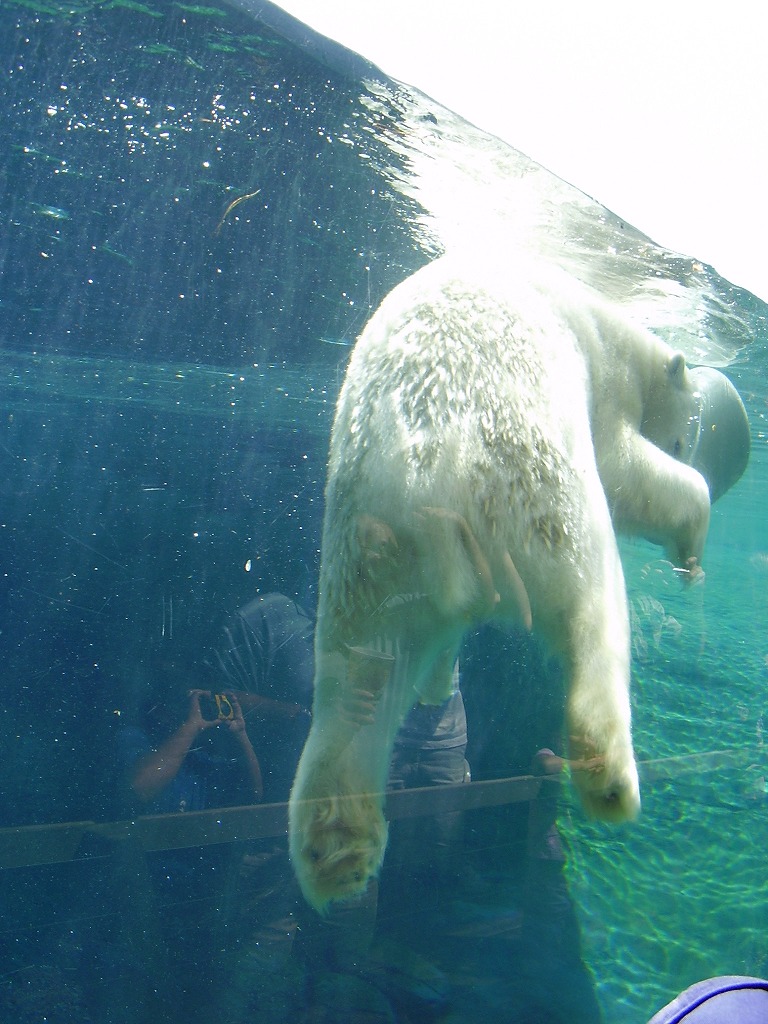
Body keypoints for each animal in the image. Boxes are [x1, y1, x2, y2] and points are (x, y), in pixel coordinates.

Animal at [286, 256, 745, 913]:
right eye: (684, 439)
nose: (687, 444)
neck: (609, 322)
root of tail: (428, 470)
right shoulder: (602, 386)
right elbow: (635, 476)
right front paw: (691, 552)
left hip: (367, 547)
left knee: (358, 681)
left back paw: (337, 850)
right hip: (532, 483)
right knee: (593, 598)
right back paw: (609, 776)